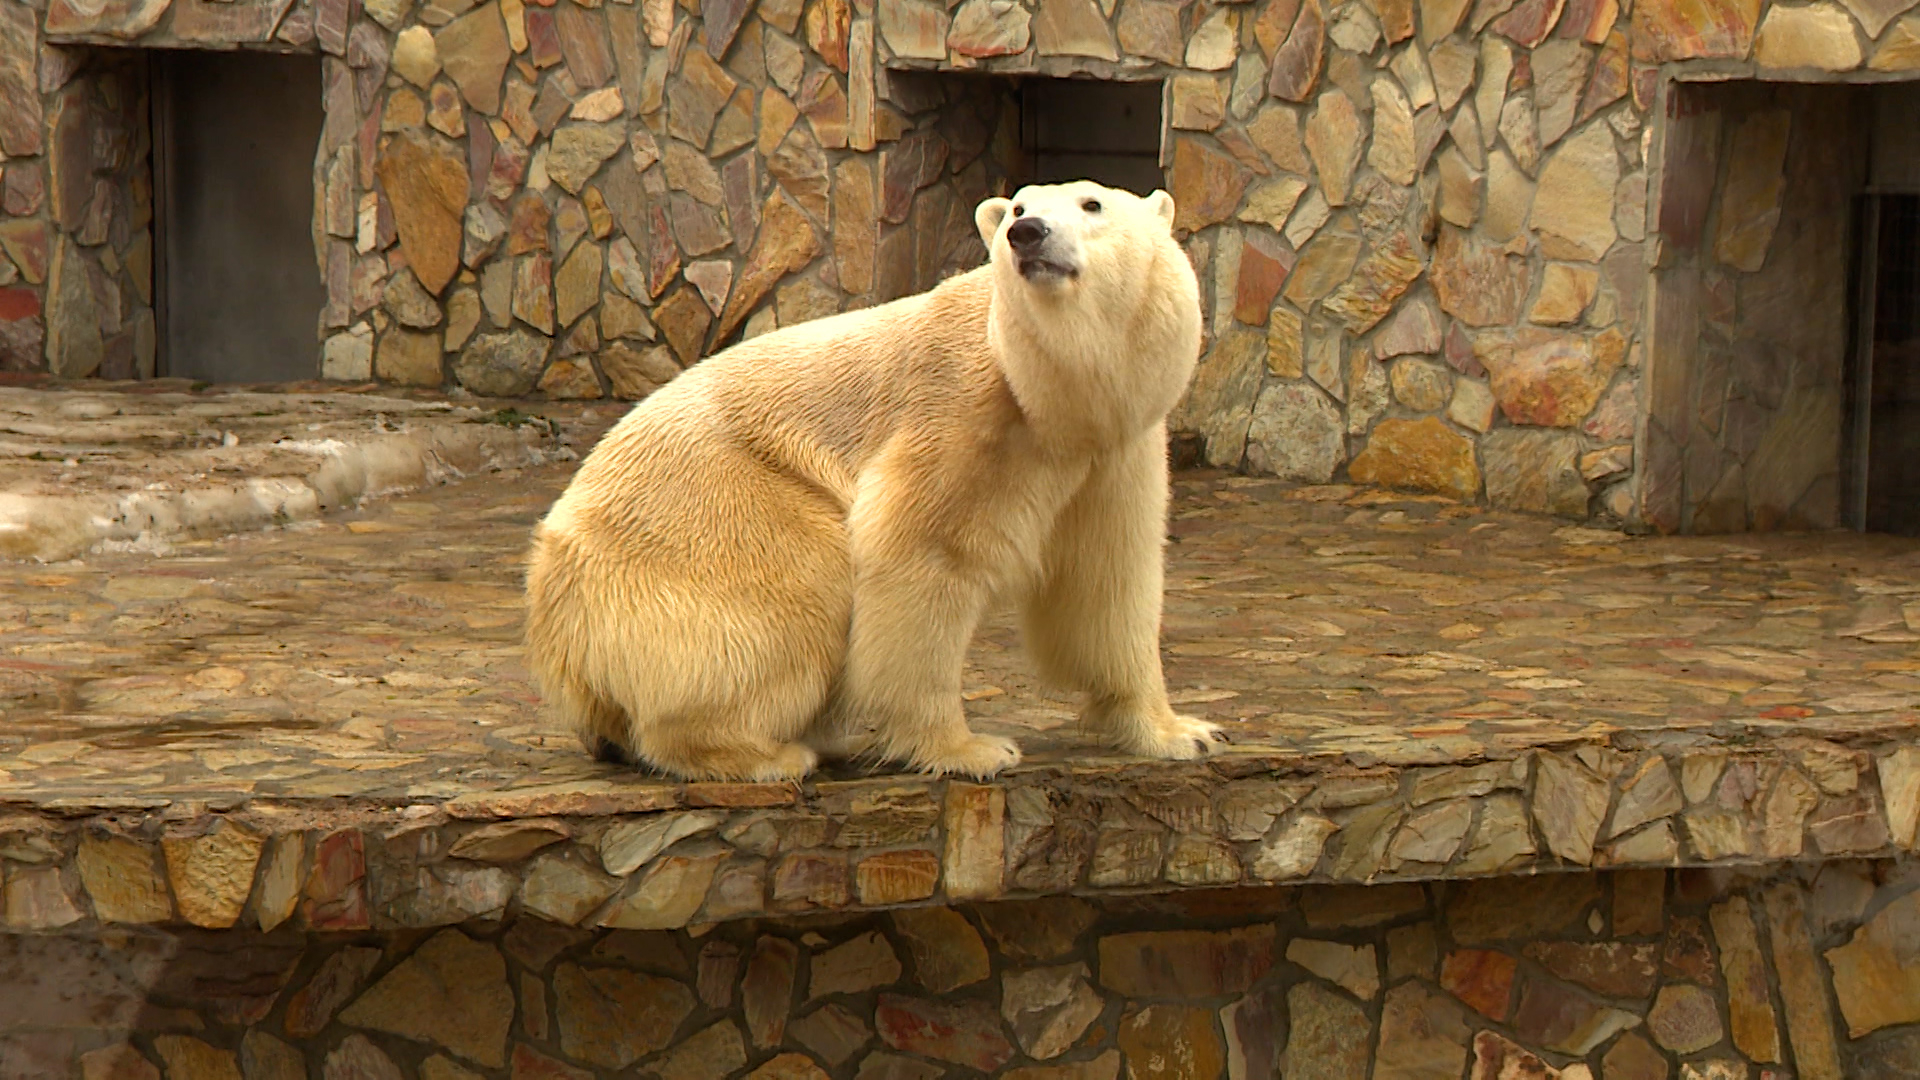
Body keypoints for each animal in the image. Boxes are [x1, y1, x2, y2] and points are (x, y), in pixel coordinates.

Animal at [518, 180, 1221, 776]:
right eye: (1017, 209)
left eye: (1092, 203)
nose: (1029, 234)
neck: (1055, 402)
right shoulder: (965, 414)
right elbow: (922, 558)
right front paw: (969, 748)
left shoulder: (1115, 452)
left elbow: (1107, 581)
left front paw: (1182, 732)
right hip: (716, 514)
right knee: (788, 606)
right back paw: (771, 754)